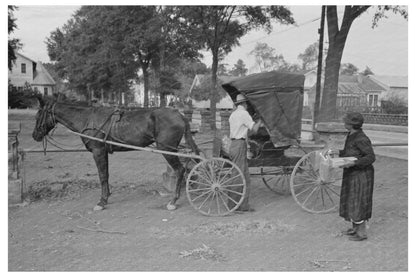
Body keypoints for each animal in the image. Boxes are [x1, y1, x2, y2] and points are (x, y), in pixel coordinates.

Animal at [31, 96, 201, 210]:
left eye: (38, 115)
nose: (35, 135)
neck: (87, 119)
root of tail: (180, 115)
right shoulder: (103, 152)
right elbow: (106, 175)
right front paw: (106, 197)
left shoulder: (98, 151)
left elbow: (102, 176)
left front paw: (101, 202)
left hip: (167, 150)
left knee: (180, 170)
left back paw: (173, 200)